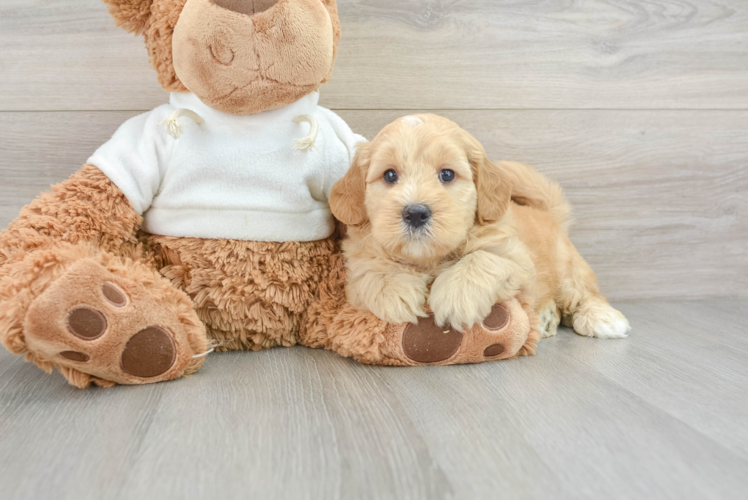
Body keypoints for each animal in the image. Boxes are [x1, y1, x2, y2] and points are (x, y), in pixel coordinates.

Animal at [330, 114, 628, 340]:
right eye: (390, 175)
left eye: (447, 174)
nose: (415, 213)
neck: (430, 260)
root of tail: (549, 215)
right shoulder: (356, 268)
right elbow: (372, 271)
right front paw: (395, 292)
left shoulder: (517, 260)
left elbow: (482, 259)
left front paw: (455, 297)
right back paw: (545, 318)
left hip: (568, 270)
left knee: (586, 294)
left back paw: (603, 318)